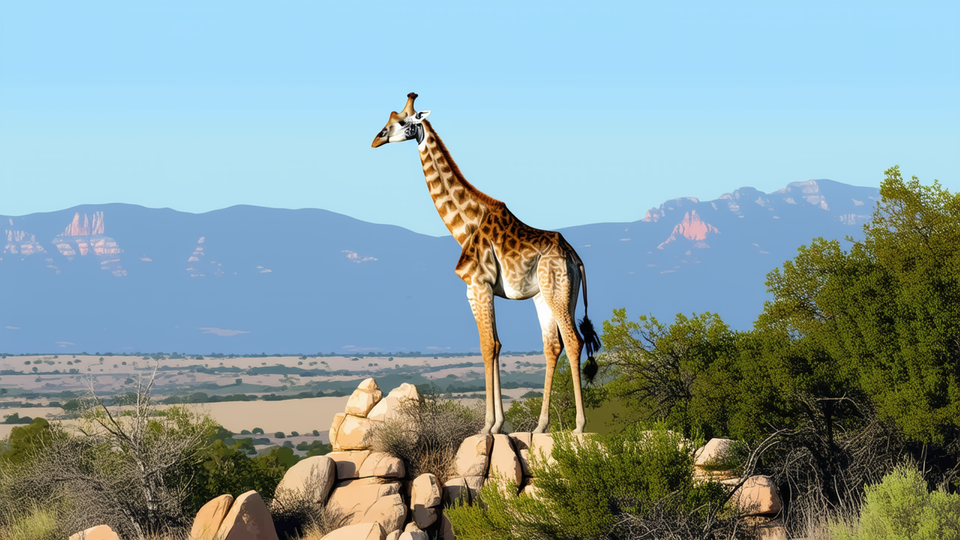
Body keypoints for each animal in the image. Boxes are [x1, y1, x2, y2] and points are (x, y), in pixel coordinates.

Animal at [371, 93, 601, 434]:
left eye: (401, 121)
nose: (376, 139)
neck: (465, 225)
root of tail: (577, 258)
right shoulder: (476, 289)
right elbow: (493, 345)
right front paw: (498, 425)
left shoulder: (479, 285)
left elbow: (489, 345)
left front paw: (489, 426)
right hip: (545, 296)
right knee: (552, 346)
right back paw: (540, 427)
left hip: (557, 290)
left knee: (574, 342)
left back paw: (579, 426)